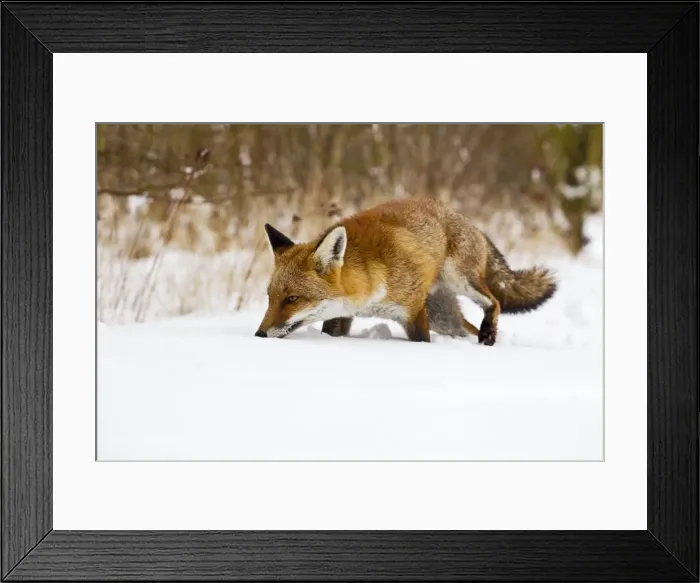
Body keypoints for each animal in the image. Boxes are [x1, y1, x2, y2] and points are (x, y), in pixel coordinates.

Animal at [255, 198, 556, 345]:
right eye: (270, 298)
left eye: (292, 299)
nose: (259, 336)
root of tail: (468, 222)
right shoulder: (340, 316)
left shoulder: (413, 314)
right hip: (444, 319)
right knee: (467, 326)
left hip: (460, 282)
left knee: (494, 301)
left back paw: (489, 334)